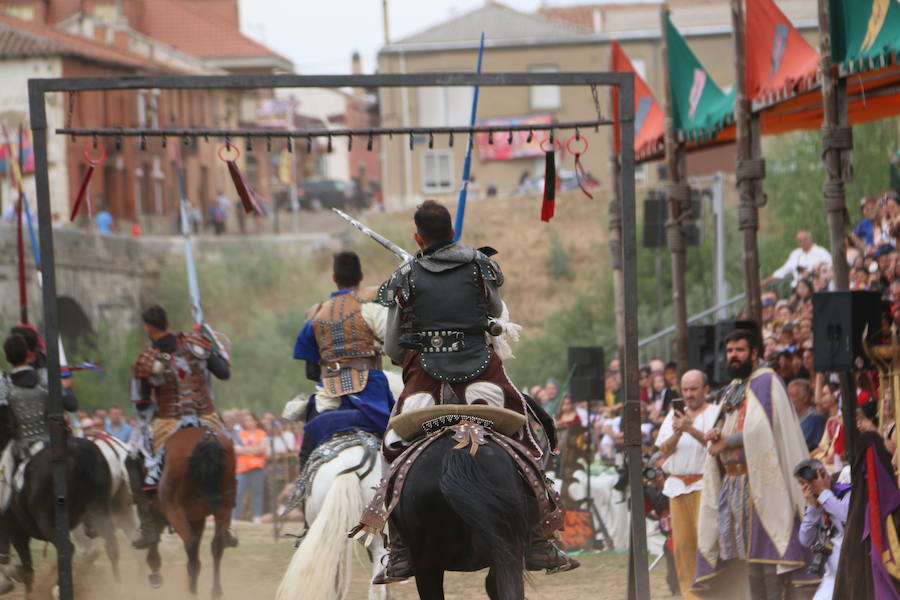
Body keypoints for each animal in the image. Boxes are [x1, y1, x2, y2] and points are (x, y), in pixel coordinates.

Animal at [144, 424, 237, 596]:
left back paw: (192, 590)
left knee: (191, 545)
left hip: (173, 509)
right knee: (216, 544)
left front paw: (154, 571)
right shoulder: (197, 518)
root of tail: (207, 441)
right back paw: (215, 590)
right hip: (223, 507)